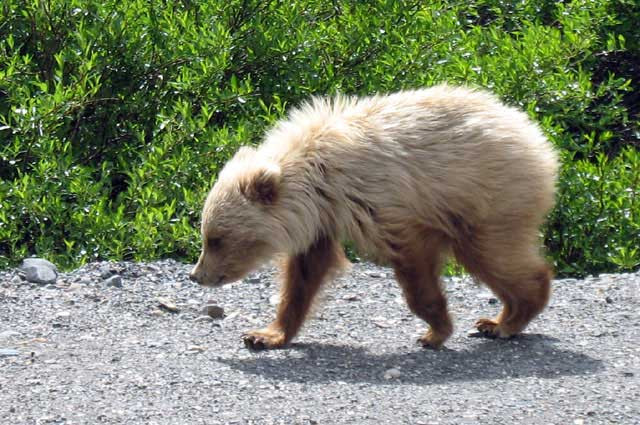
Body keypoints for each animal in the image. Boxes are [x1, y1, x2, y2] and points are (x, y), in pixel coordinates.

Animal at [188, 84, 556, 350]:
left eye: (216, 239)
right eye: (207, 234)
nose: (197, 275)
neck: (320, 181)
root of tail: (534, 134)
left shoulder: (384, 203)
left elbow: (414, 262)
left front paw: (434, 331)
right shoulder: (322, 220)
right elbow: (304, 276)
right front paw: (265, 334)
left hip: (488, 198)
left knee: (493, 256)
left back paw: (506, 321)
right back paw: (495, 321)